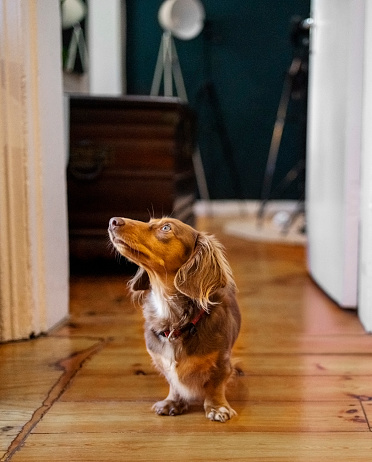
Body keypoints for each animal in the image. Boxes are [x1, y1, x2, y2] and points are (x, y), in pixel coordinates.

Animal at [107, 217, 241, 422]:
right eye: (150, 221)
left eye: (166, 227)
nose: (113, 221)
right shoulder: (161, 360)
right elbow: (173, 382)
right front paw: (173, 402)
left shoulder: (222, 362)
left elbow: (216, 385)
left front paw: (217, 407)